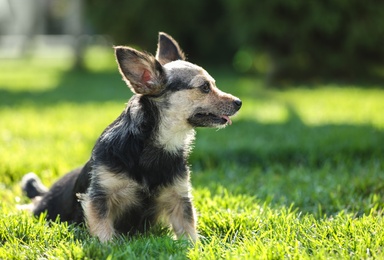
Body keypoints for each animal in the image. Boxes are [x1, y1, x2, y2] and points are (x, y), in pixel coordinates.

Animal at [19, 32, 242, 242]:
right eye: (205, 87)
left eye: (213, 84)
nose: (239, 102)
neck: (156, 144)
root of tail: (45, 193)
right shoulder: (99, 198)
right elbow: (103, 231)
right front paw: (107, 247)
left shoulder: (179, 197)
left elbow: (188, 229)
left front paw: (195, 246)